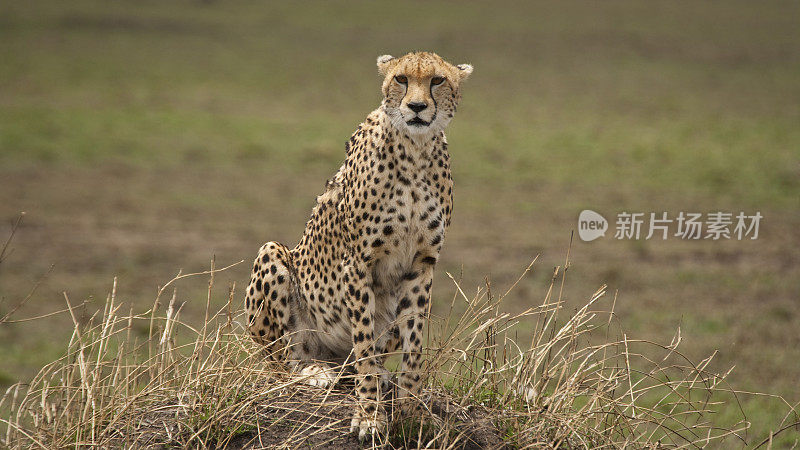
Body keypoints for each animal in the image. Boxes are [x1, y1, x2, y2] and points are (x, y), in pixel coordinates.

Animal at [241, 51, 472, 440]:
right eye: (401, 79)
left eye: (438, 80)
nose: (417, 107)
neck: (415, 150)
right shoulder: (359, 263)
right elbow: (363, 342)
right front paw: (368, 414)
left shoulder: (423, 264)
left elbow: (413, 343)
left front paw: (412, 411)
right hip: (273, 257)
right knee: (283, 361)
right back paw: (314, 371)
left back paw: (379, 375)